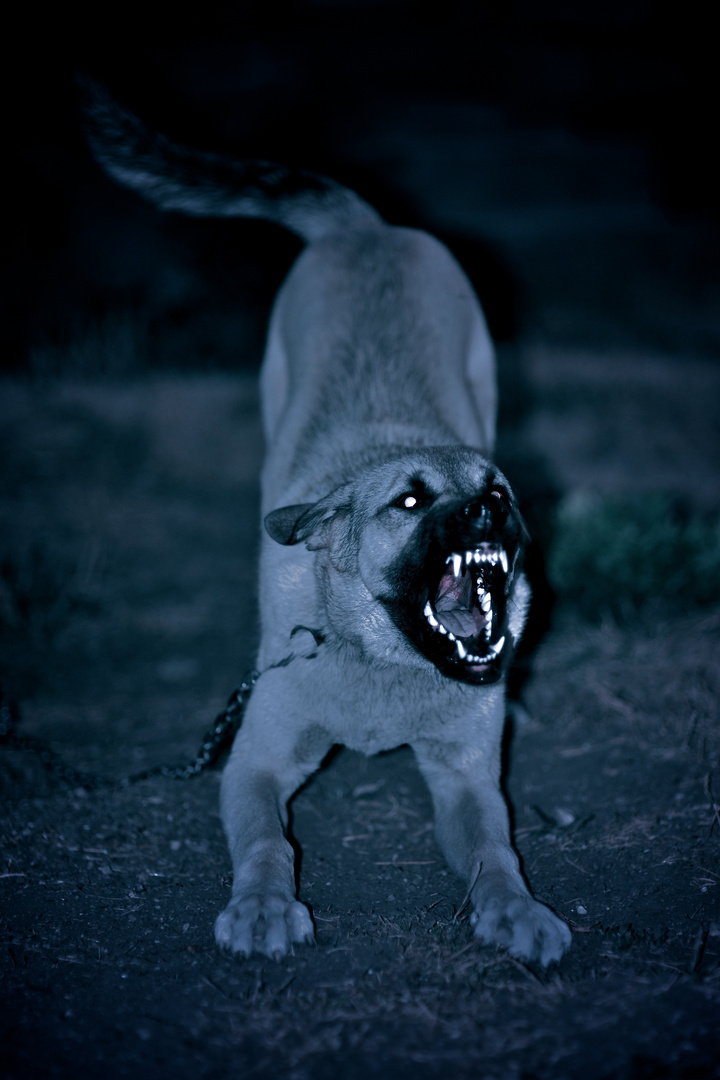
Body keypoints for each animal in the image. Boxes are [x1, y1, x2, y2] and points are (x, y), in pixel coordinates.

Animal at [83, 82, 569, 963]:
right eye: (408, 501)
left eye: (501, 492)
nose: (487, 508)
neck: (380, 663)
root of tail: (363, 228)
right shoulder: (254, 762)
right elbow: (268, 843)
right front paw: (264, 907)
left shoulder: (466, 777)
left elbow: (496, 852)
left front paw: (516, 912)